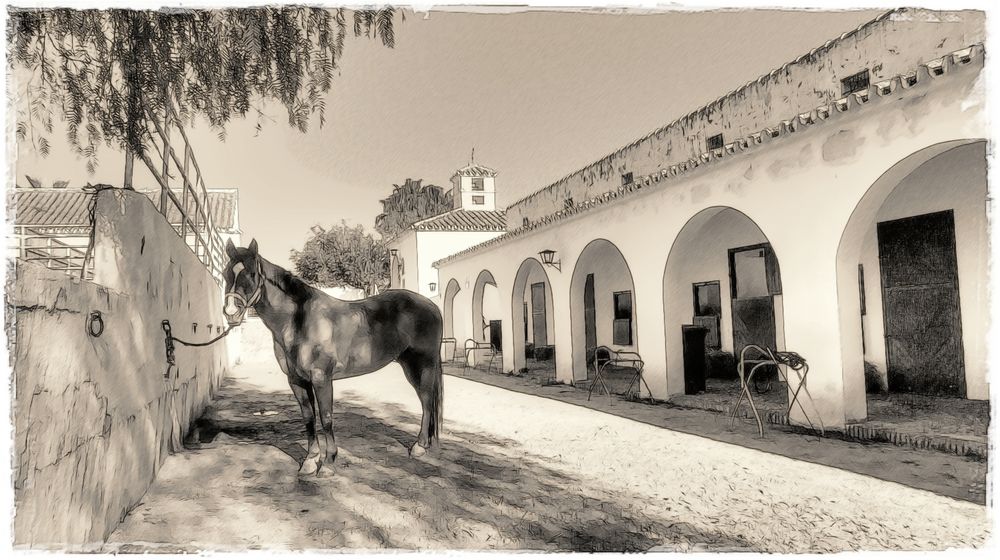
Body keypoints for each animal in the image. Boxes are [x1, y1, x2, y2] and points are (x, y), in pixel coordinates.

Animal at [227, 238, 446, 474]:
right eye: (225, 273)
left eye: (251, 274)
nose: (230, 313)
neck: (299, 320)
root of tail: (432, 305)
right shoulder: (297, 380)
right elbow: (308, 418)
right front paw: (310, 460)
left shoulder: (321, 378)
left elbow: (326, 418)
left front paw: (328, 462)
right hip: (409, 365)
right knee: (426, 400)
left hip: (423, 365)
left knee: (426, 401)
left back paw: (420, 447)